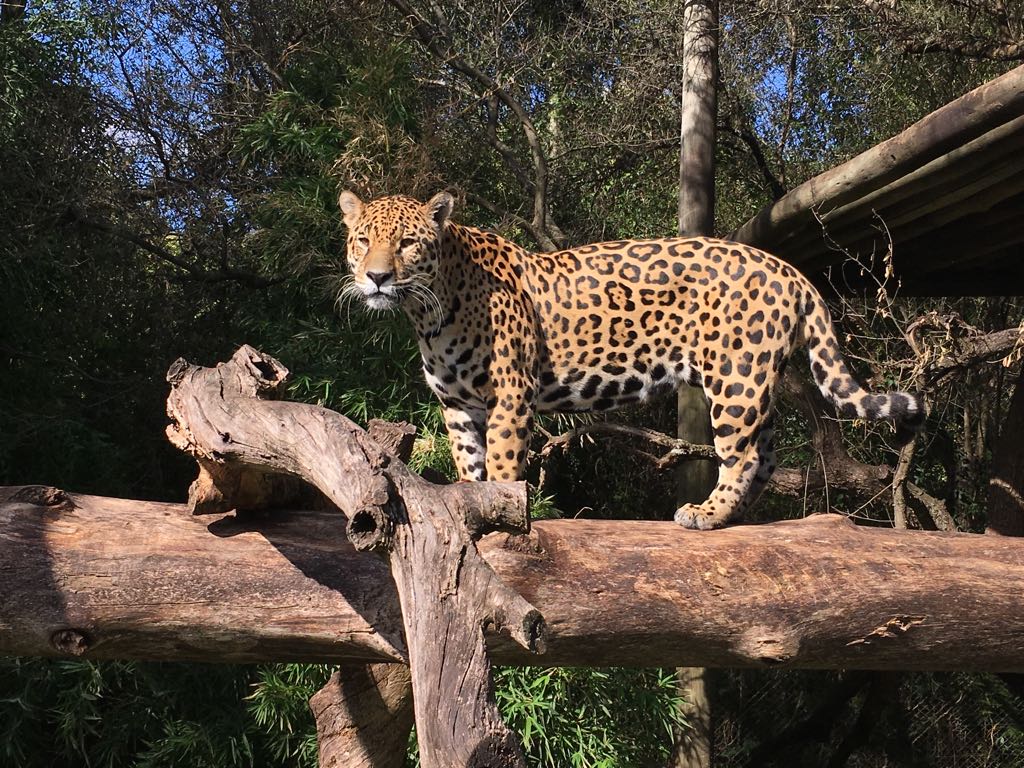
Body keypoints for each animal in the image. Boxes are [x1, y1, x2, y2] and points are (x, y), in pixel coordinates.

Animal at [338, 190, 924, 529]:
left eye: (408, 243)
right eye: (362, 240)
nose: (377, 277)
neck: (428, 311)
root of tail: (791, 271)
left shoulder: (508, 396)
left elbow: (503, 465)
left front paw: (502, 512)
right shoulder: (458, 405)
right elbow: (469, 462)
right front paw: (471, 499)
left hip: (736, 379)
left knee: (744, 456)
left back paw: (705, 515)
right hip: (753, 380)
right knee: (768, 455)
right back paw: (739, 519)